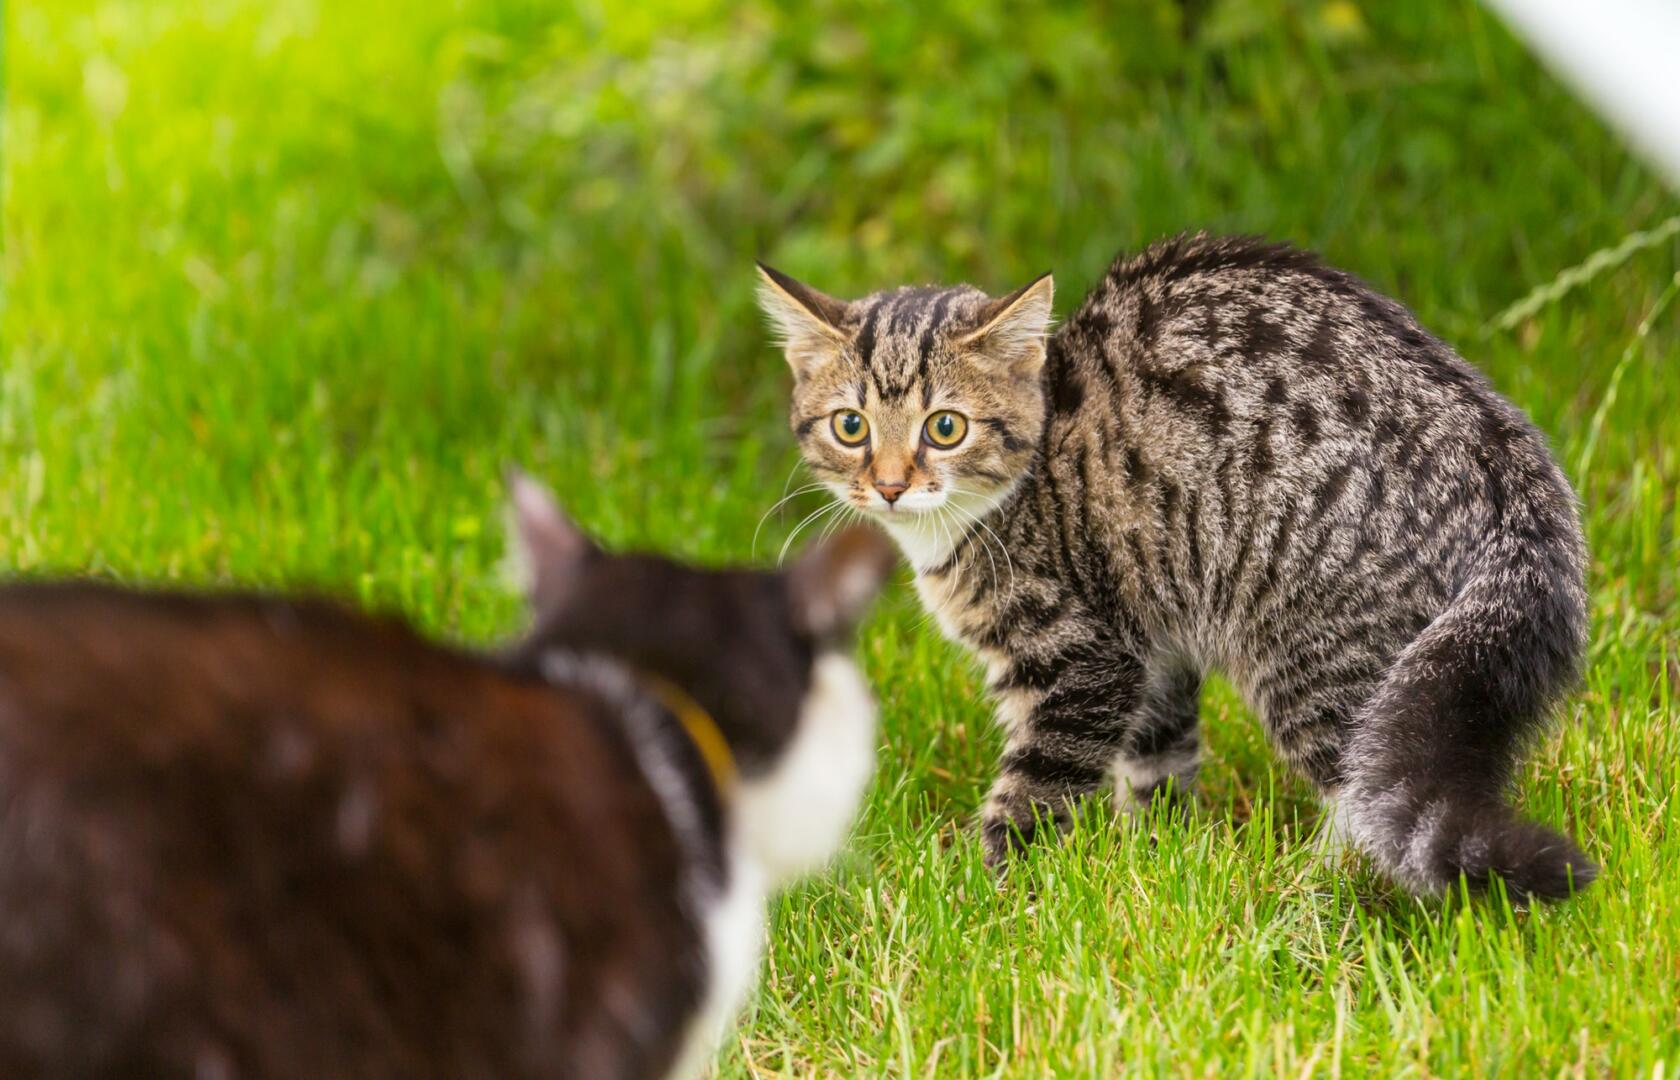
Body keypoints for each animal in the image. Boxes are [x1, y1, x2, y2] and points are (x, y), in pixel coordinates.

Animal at [766, 236, 1599, 906]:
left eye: (945, 427)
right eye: (851, 427)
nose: (889, 484)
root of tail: (1501, 452)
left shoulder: (1081, 661)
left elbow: (1033, 791)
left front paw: (982, 900)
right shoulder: (1149, 635)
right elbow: (1158, 759)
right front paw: (1154, 859)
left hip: (1316, 650)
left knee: (1368, 793)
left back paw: (1302, 899)